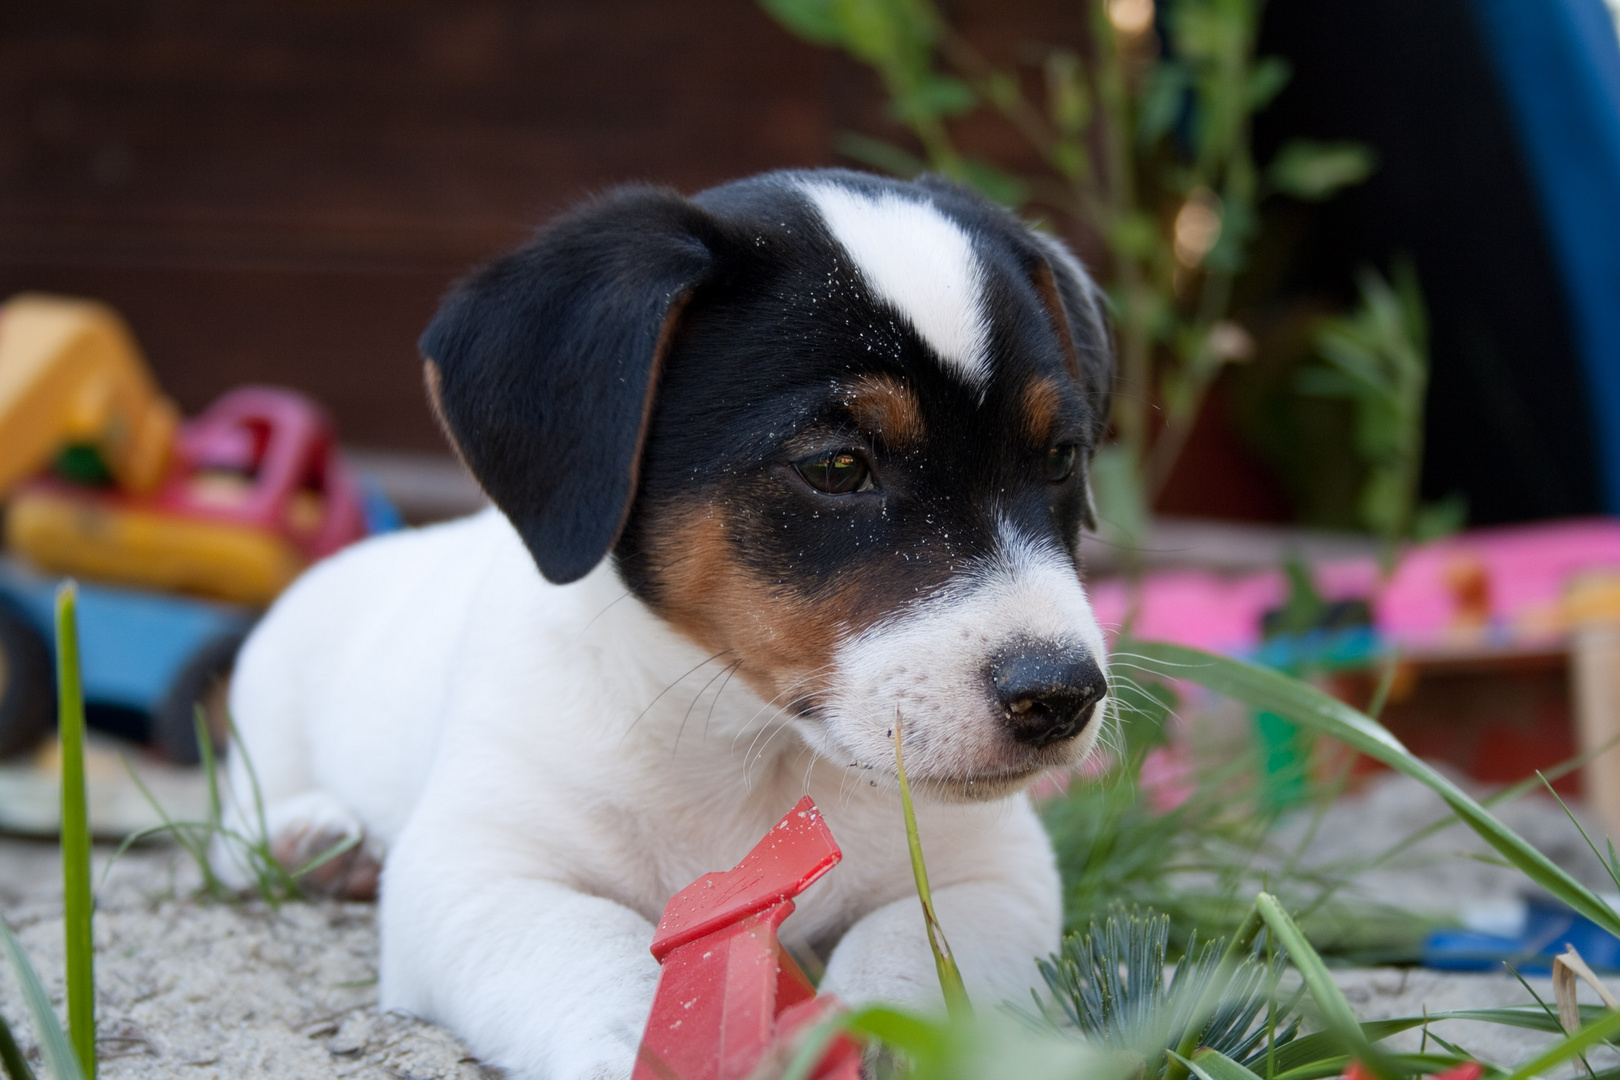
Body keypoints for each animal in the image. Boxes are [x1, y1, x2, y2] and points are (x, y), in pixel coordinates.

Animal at [221, 169, 1114, 1080]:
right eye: (836, 467)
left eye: (1060, 458)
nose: (1062, 697)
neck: (750, 750)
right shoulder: (476, 875)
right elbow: (597, 949)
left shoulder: (997, 881)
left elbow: (903, 955)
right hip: (272, 705)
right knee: (234, 820)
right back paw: (312, 839)